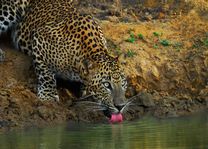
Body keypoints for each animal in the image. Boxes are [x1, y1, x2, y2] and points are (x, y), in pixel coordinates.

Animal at [0, 0, 131, 118]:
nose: (121, 106)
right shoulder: (39, 38)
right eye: (106, 84)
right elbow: (45, 74)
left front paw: (85, 91)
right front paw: (48, 96)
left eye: (123, 82)